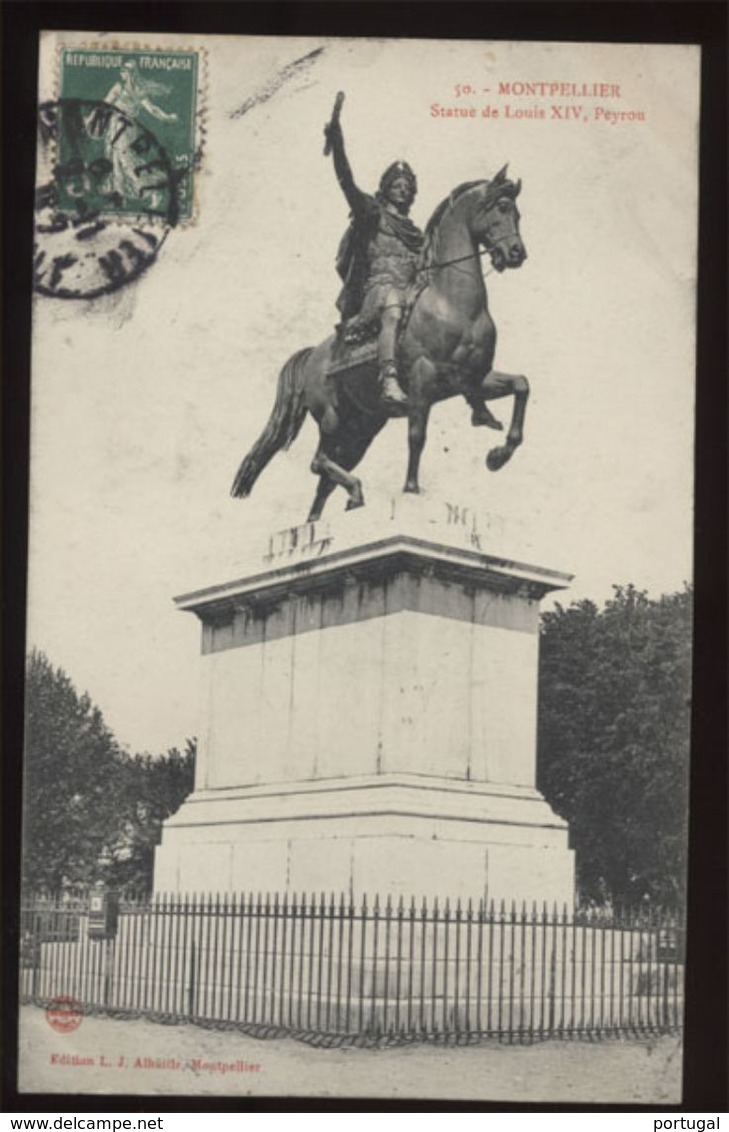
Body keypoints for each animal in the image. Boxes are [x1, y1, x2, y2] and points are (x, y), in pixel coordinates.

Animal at [233, 165, 529, 520]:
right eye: (501, 208)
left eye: (518, 213)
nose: (516, 253)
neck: (453, 302)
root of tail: (314, 355)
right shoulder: (423, 380)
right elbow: (417, 435)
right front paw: (412, 489)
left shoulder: (474, 379)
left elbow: (521, 385)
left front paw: (498, 455)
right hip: (332, 418)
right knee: (318, 461)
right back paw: (353, 493)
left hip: (363, 428)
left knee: (324, 480)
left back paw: (325, 516)